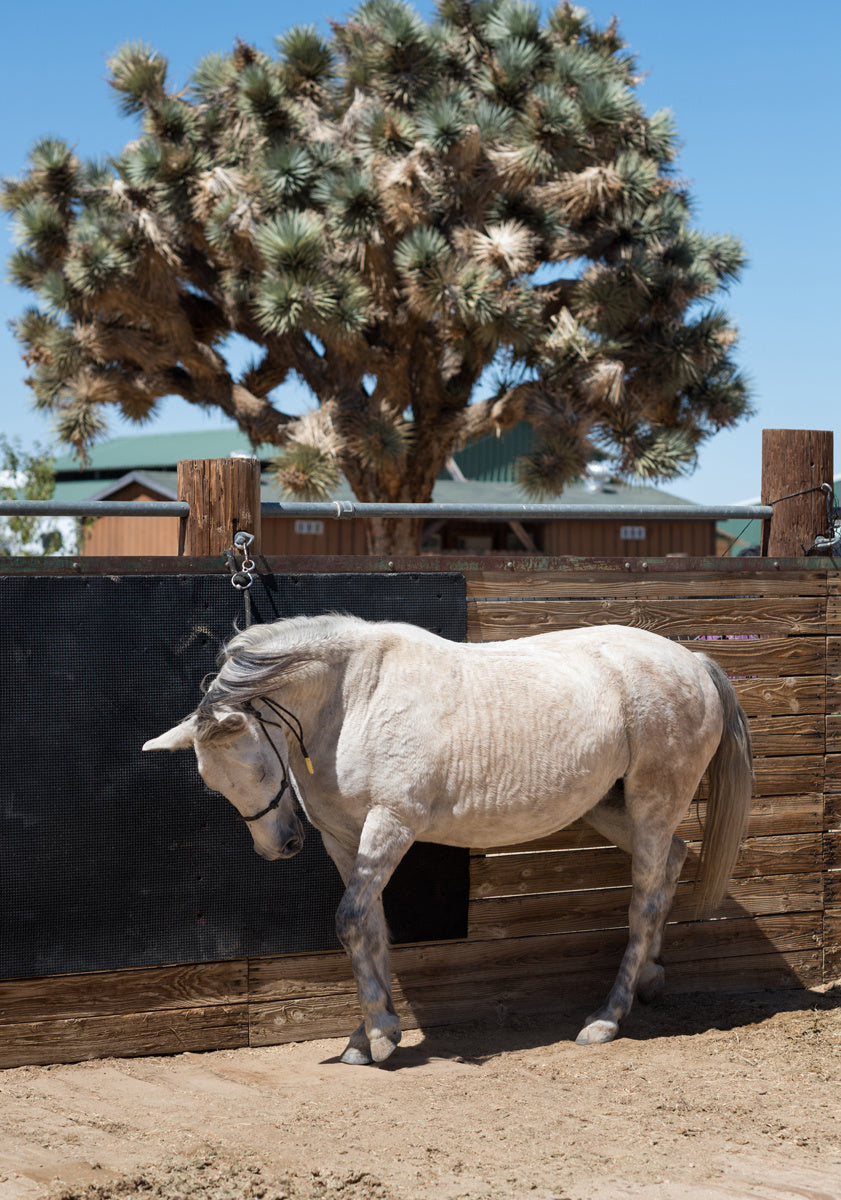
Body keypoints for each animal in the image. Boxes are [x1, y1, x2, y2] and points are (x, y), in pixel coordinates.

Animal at [143, 614, 753, 1065]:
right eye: (211, 781)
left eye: (260, 768)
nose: (280, 845)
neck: (355, 697)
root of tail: (694, 662)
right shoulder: (346, 839)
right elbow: (371, 926)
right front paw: (371, 1034)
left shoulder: (392, 823)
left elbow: (349, 920)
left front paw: (381, 1035)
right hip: (611, 806)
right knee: (673, 862)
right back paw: (651, 977)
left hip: (653, 804)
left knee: (643, 903)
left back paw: (606, 1018)